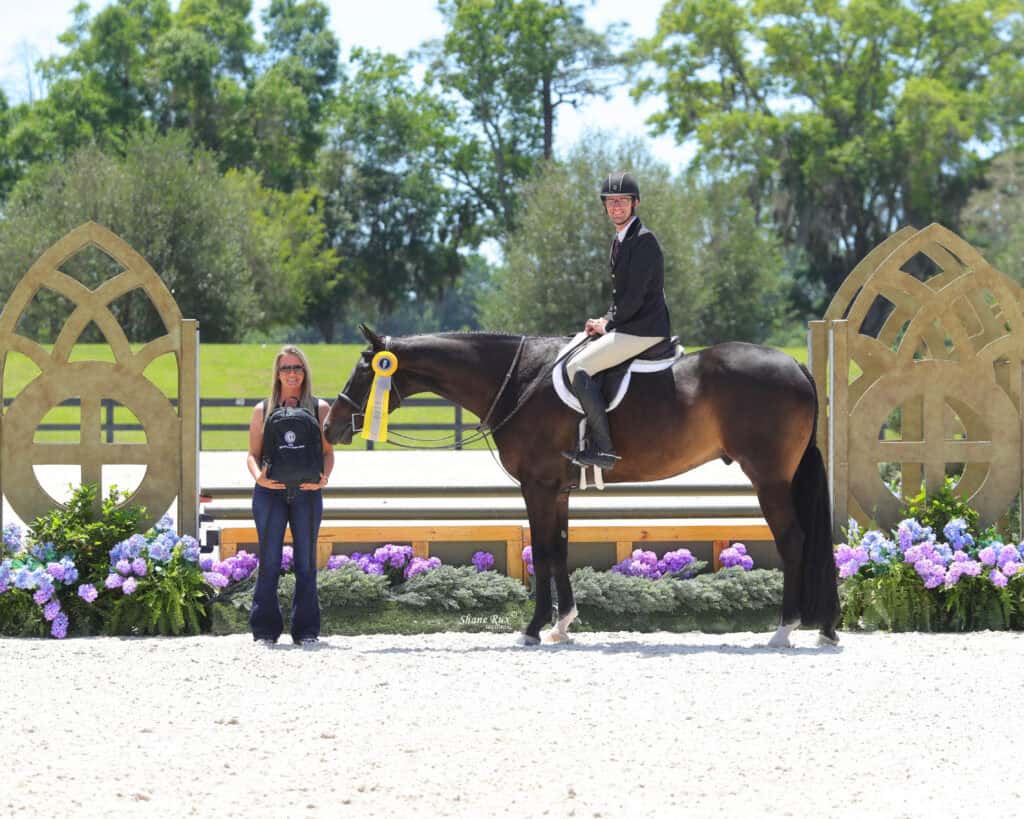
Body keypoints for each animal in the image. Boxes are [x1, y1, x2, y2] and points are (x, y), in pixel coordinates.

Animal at [324, 325, 840, 648]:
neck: (520, 381)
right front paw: (563, 625)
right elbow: (560, 549)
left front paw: (534, 629)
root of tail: (796, 366)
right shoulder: (556, 489)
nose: (332, 426)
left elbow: (543, 551)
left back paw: (784, 630)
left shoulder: (536, 485)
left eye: (366, 369)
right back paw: (822, 628)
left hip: (769, 478)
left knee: (793, 540)